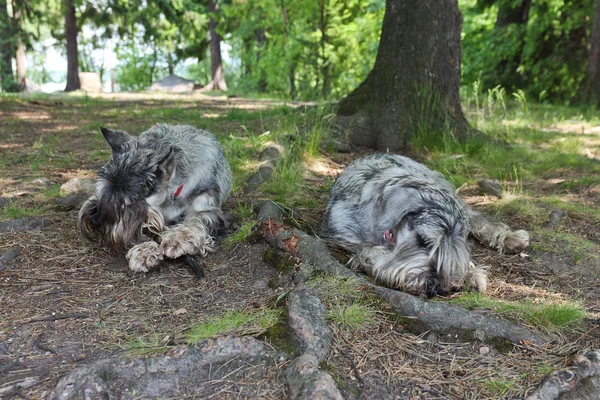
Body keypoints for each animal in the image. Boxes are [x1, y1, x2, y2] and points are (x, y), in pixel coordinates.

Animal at [78, 123, 232, 274]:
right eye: (101, 189)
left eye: (128, 201)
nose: (95, 221)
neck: (170, 197)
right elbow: (141, 230)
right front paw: (144, 251)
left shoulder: (207, 208)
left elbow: (195, 220)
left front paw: (178, 238)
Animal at [324, 153, 528, 296]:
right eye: (424, 241)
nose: (434, 288)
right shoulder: (342, 234)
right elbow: (367, 250)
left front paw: (471, 273)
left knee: (477, 218)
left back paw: (511, 238)